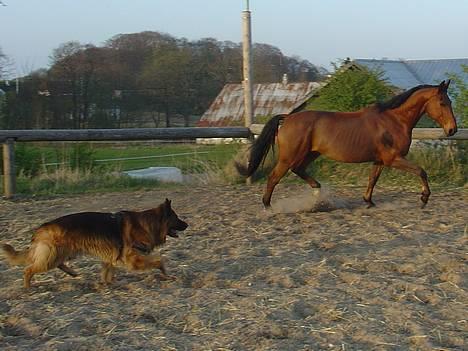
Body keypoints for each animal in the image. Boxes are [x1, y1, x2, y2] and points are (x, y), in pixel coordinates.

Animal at [2, 199, 188, 288]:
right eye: (177, 218)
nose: (187, 225)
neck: (149, 223)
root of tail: (43, 227)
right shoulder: (134, 259)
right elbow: (159, 260)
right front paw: (166, 274)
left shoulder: (111, 258)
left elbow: (107, 272)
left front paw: (108, 284)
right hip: (56, 254)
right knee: (28, 270)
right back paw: (27, 288)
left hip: (64, 253)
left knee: (58, 264)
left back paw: (73, 273)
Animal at [238, 82, 458, 209]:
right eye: (442, 102)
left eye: (449, 102)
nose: (452, 130)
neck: (395, 120)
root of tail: (288, 118)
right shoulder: (392, 158)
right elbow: (421, 171)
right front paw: (424, 198)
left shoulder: (380, 160)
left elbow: (372, 180)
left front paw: (368, 201)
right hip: (289, 156)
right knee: (274, 177)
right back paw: (268, 207)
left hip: (311, 153)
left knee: (298, 170)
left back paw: (318, 193)